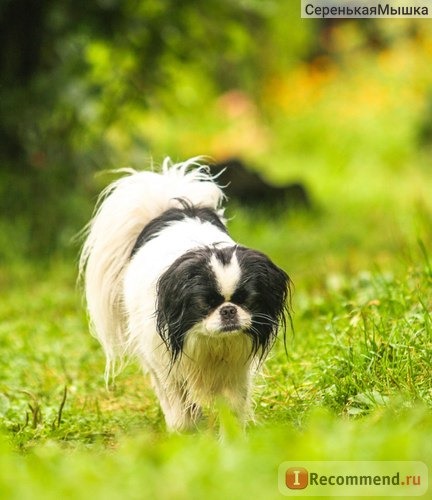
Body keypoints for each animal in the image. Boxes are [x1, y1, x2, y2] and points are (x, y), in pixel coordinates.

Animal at [79, 157, 292, 430]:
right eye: (205, 303)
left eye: (246, 300)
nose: (229, 310)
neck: (212, 343)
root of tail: (174, 211)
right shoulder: (165, 365)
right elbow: (179, 408)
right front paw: (186, 432)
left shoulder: (236, 372)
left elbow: (233, 409)